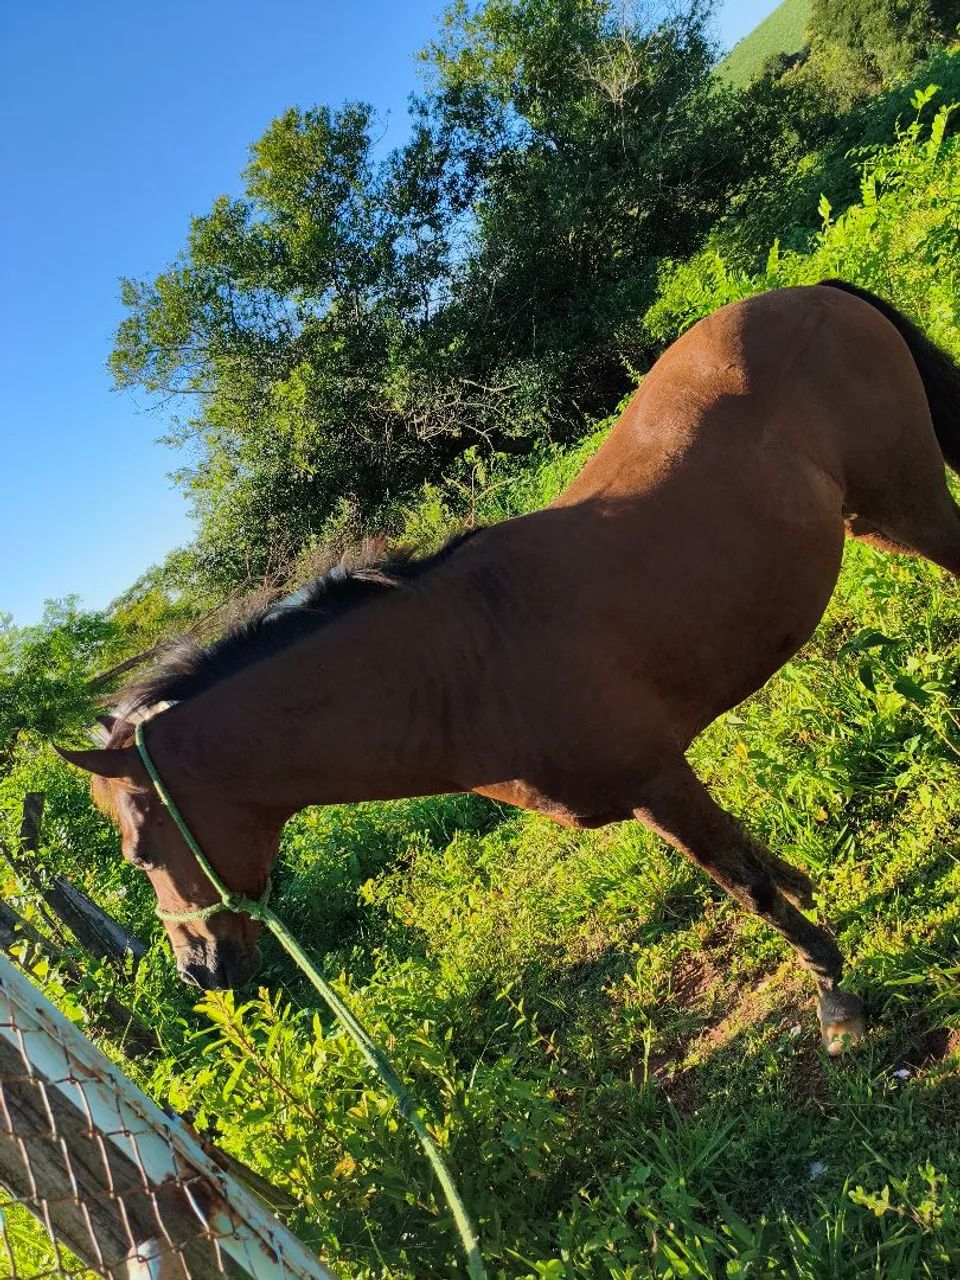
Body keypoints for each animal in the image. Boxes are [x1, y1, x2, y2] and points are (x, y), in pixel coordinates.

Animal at [58, 280, 960, 1054]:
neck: (461, 664)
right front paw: (812, 897)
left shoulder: (657, 781)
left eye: (140, 856)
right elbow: (755, 866)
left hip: (911, 508)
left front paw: (834, 995)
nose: (199, 970)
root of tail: (812, 295)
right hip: (872, 520)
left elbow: (746, 886)